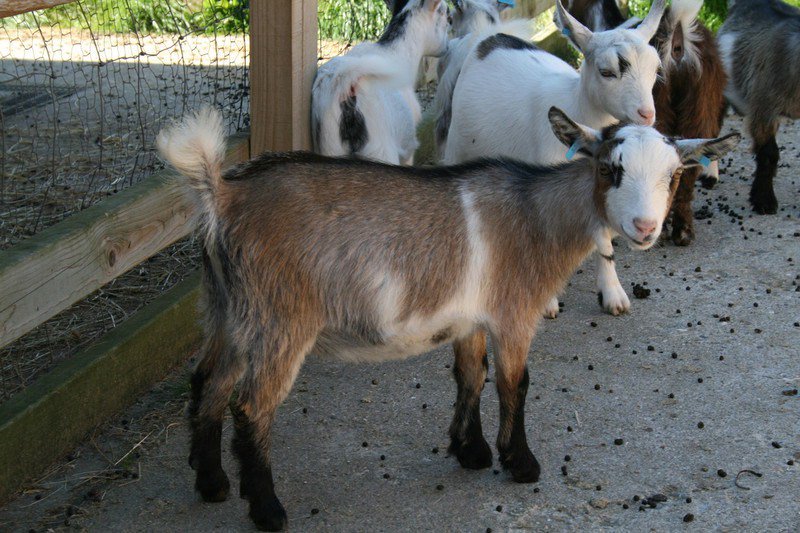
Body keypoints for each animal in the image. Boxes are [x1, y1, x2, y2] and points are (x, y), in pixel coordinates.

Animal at [157, 105, 737, 532]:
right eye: (608, 168)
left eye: (672, 175)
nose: (644, 227)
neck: (537, 218)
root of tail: (223, 195)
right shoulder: (512, 314)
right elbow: (514, 382)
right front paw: (520, 463)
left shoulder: (470, 319)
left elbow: (469, 377)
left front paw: (470, 450)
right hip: (280, 318)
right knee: (252, 405)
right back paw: (267, 510)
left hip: (228, 310)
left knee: (207, 381)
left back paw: (211, 483)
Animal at [311, 0, 449, 164]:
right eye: (444, 13)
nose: (447, 47)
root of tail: (346, 81)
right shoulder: (408, 147)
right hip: (381, 150)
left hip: (330, 145)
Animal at [443, 0, 666, 317]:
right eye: (607, 71)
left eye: (656, 69)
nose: (646, 115)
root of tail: (490, 37)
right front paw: (547, 302)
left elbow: (603, 239)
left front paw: (613, 295)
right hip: (458, 141)